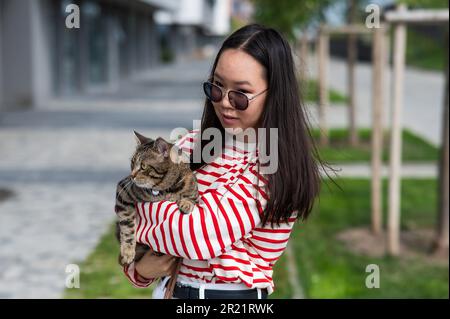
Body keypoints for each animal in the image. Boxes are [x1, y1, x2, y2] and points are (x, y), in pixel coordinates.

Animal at [115, 131, 198, 300]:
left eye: (143, 166)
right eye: (132, 163)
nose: (132, 176)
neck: (166, 189)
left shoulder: (193, 186)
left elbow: (191, 196)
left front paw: (186, 203)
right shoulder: (123, 192)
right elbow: (127, 227)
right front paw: (127, 251)